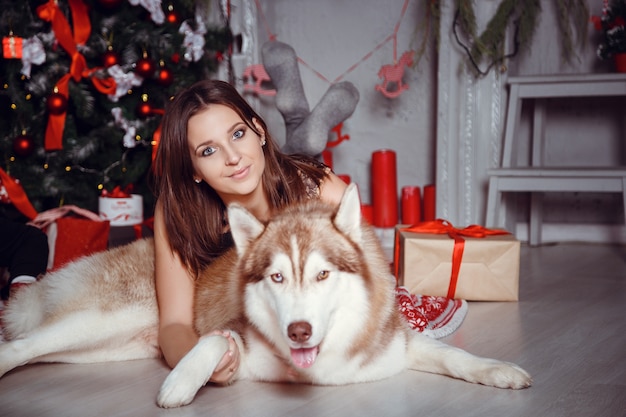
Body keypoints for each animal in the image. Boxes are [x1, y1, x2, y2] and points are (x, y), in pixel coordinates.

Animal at [0, 184, 532, 406]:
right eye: (276, 278)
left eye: (322, 275)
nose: (298, 330)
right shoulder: (233, 336)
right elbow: (212, 342)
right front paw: (179, 385)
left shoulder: (394, 344)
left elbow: (453, 355)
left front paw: (499, 370)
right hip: (106, 318)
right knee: (24, 343)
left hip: (104, 349)